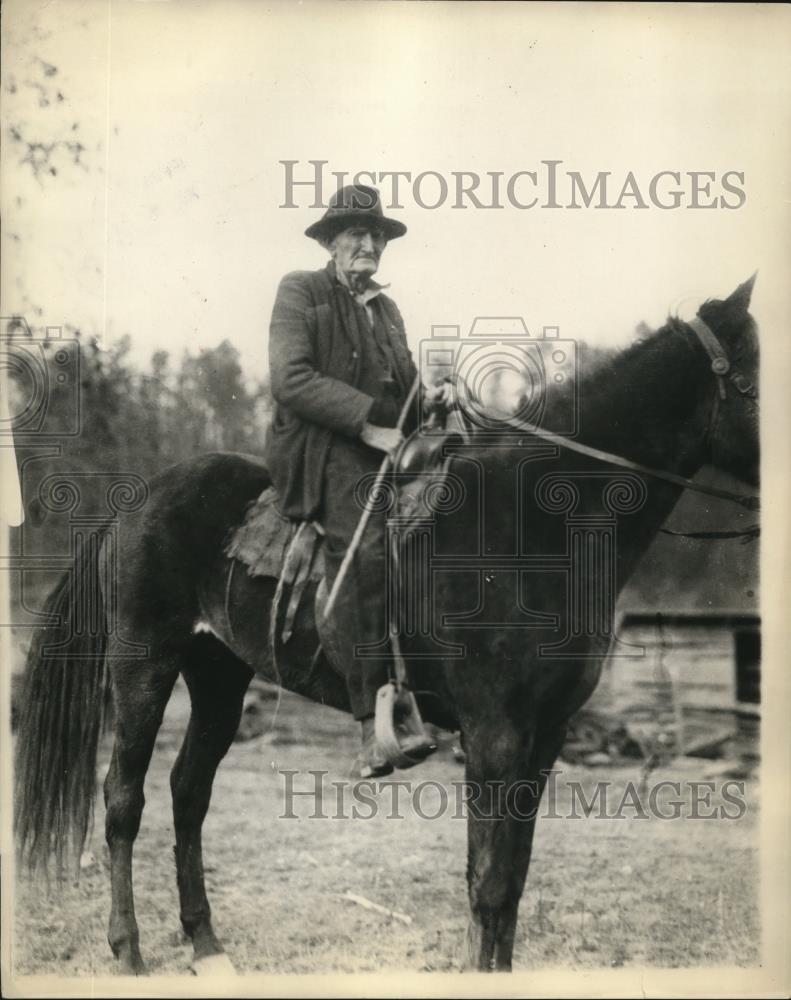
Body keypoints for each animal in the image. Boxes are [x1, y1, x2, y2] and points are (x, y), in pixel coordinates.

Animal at [15, 278, 760, 972]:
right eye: (753, 379)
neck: (530, 527)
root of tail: (134, 503)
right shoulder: (493, 735)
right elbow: (489, 883)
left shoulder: (544, 736)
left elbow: (510, 882)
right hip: (144, 665)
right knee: (123, 800)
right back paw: (128, 949)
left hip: (219, 675)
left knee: (188, 792)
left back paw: (205, 943)